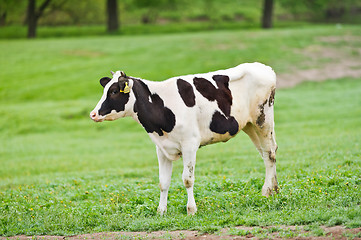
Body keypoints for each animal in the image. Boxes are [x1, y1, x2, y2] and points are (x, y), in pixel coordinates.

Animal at [89, 62, 276, 216]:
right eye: (105, 90)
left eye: (114, 91)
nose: (93, 114)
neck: (161, 106)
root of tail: (264, 67)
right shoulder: (161, 148)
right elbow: (163, 182)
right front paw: (161, 211)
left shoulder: (190, 144)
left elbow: (187, 179)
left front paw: (191, 209)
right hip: (250, 125)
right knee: (265, 153)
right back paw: (274, 189)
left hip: (263, 120)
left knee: (270, 154)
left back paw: (267, 192)